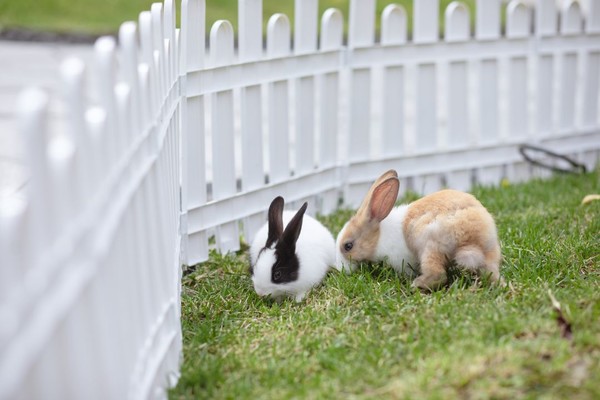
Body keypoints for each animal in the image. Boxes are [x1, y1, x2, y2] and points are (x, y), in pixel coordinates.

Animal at [338, 170, 502, 290]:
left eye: (348, 246)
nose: (342, 269)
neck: (378, 236)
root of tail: (473, 239)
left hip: (429, 246)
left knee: (438, 275)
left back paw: (416, 284)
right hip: (490, 253)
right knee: (491, 273)